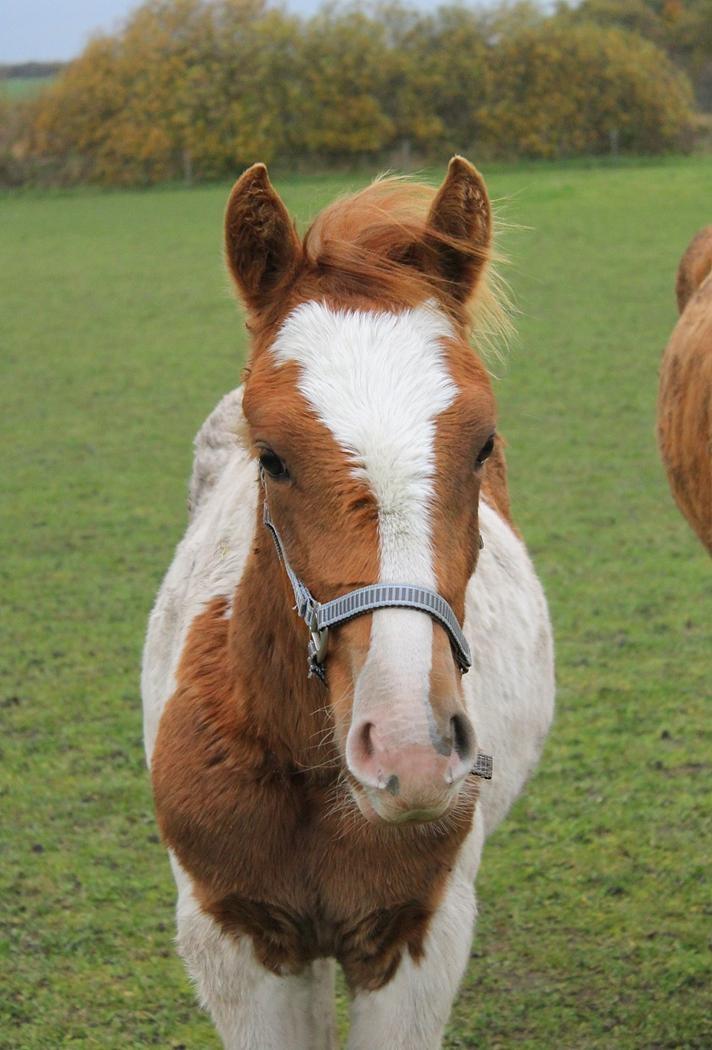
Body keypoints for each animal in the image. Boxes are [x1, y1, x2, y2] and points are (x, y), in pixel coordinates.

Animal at [141, 157, 558, 1050]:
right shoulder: (237, 939)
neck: (305, 773)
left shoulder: (416, 937)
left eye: (483, 444)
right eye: (270, 457)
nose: (410, 748)